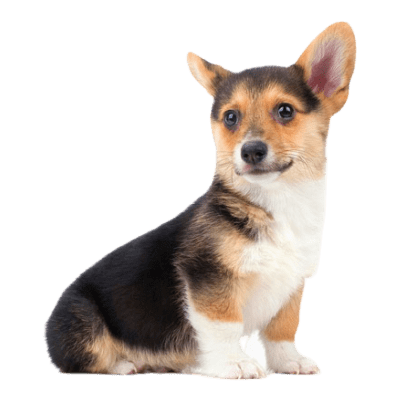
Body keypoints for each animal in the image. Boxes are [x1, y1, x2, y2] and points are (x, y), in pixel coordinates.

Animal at [43, 21, 357, 380]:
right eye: (231, 117)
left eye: (285, 111)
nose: (251, 151)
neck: (276, 201)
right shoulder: (209, 277)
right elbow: (224, 326)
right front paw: (236, 363)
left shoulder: (292, 285)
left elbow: (284, 329)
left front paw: (291, 362)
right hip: (84, 318)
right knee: (85, 359)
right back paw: (127, 364)